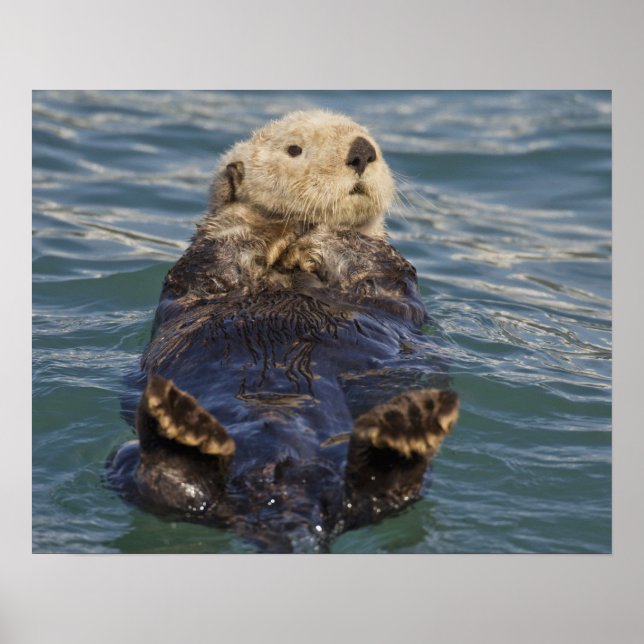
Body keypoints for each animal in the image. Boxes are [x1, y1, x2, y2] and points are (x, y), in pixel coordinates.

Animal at [108, 111, 459, 552]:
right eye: (295, 149)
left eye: (372, 141)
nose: (362, 151)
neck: (287, 269)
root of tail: (286, 493)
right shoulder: (200, 272)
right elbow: (219, 256)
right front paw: (263, 225)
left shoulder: (390, 278)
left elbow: (372, 266)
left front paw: (325, 234)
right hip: (123, 460)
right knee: (167, 488)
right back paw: (179, 430)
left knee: (381, 497)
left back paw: (405, 433)